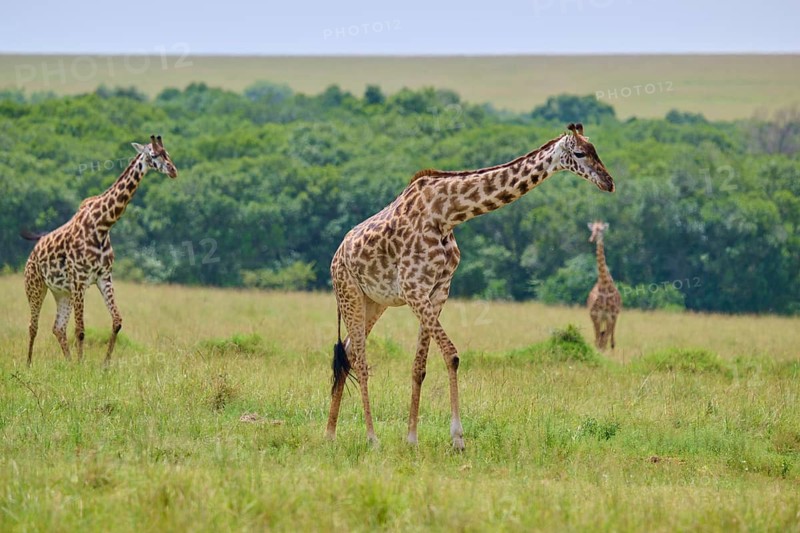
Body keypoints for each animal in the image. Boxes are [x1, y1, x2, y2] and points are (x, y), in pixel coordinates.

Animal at [22, 135, 178, 366]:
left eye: (167, 153)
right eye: (153, 154)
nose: (173, 170)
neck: (103, 225)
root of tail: (32, 254)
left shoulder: (104, 277)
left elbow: (117, 321)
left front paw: (104, 364)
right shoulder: (80, 279)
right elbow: (80, 330)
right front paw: (81, 365)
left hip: (62, 292)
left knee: (58, 328)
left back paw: (68, 362)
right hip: (36, 286)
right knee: (33, 326)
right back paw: (29, 364)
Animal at [326, 123, 615, 450]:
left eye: (595, 149)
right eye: (579, 153)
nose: (608, 182)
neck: (447, 214)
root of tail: (336, 256)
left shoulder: (438, 290)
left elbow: (419, 366)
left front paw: (412, 439)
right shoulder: (413, 288)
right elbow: (451, 355)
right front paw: (458, 439)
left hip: (374, 302)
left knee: (347, 352)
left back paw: (330, 433)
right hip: (349, 292)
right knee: (360, 361)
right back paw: (372, 439)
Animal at [586, 221, 621, 350]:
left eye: (601, 230)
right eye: (592, 230)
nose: (591, 239)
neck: (605, 285)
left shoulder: (611, 315)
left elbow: (605, 340)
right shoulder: (595, 315)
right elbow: (598, 340)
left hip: (613, 317)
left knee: (609, 338)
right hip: (599, 318)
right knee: (600, 336)